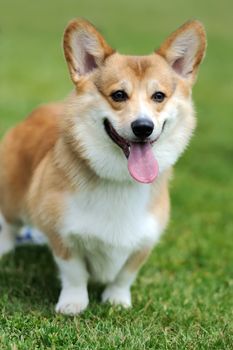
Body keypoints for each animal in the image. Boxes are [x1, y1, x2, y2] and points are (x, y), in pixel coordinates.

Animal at [0, 18, 207, 314]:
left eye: (159, 96)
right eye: (118, 95)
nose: (143, 127)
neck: (121, 180)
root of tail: (38, 111)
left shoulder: (144, 241)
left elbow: (125, 275)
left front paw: (117, 300)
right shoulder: (62, 235)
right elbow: (75, 273)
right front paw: (73, 304)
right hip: (12, 197)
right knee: (9, 225)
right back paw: (4, 250)